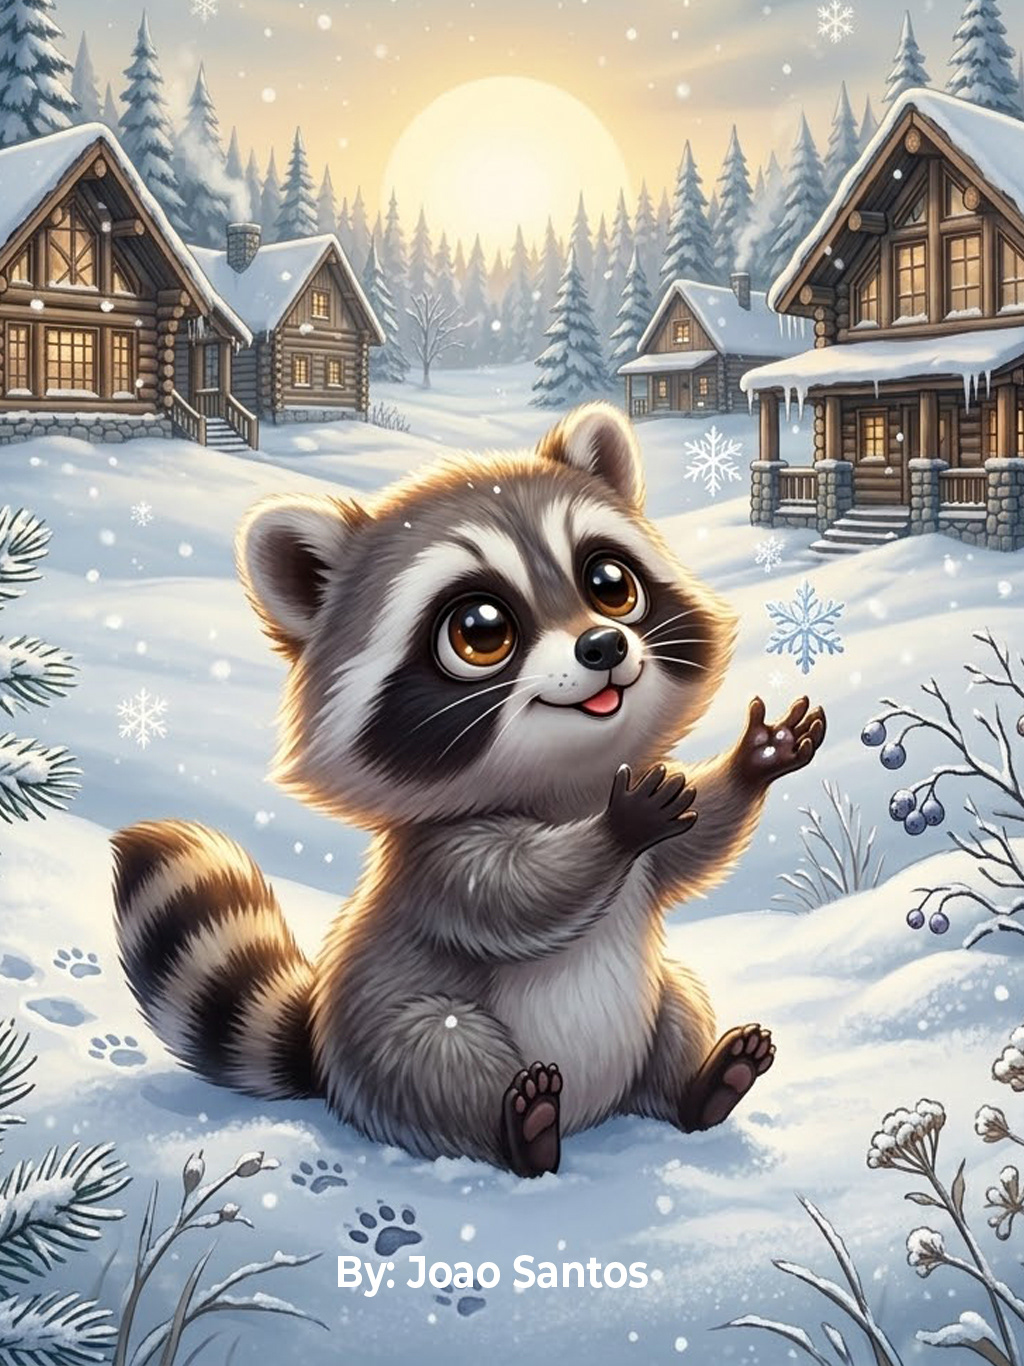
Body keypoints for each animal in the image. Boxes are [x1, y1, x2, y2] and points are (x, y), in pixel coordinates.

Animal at [111, 403, 825, 1177]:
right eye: (481, 631)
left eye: (611, 583)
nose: (604, 646)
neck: (568, 789)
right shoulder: (434, 858)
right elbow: (511, 897)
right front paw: (616, 830)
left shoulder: (645, 860)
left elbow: (694, 846)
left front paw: (752, 763)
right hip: (396, 1042)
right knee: (440, 1055)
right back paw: (522, 1139)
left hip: (657, 995)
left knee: (680, 1004)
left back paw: (702, 1091)